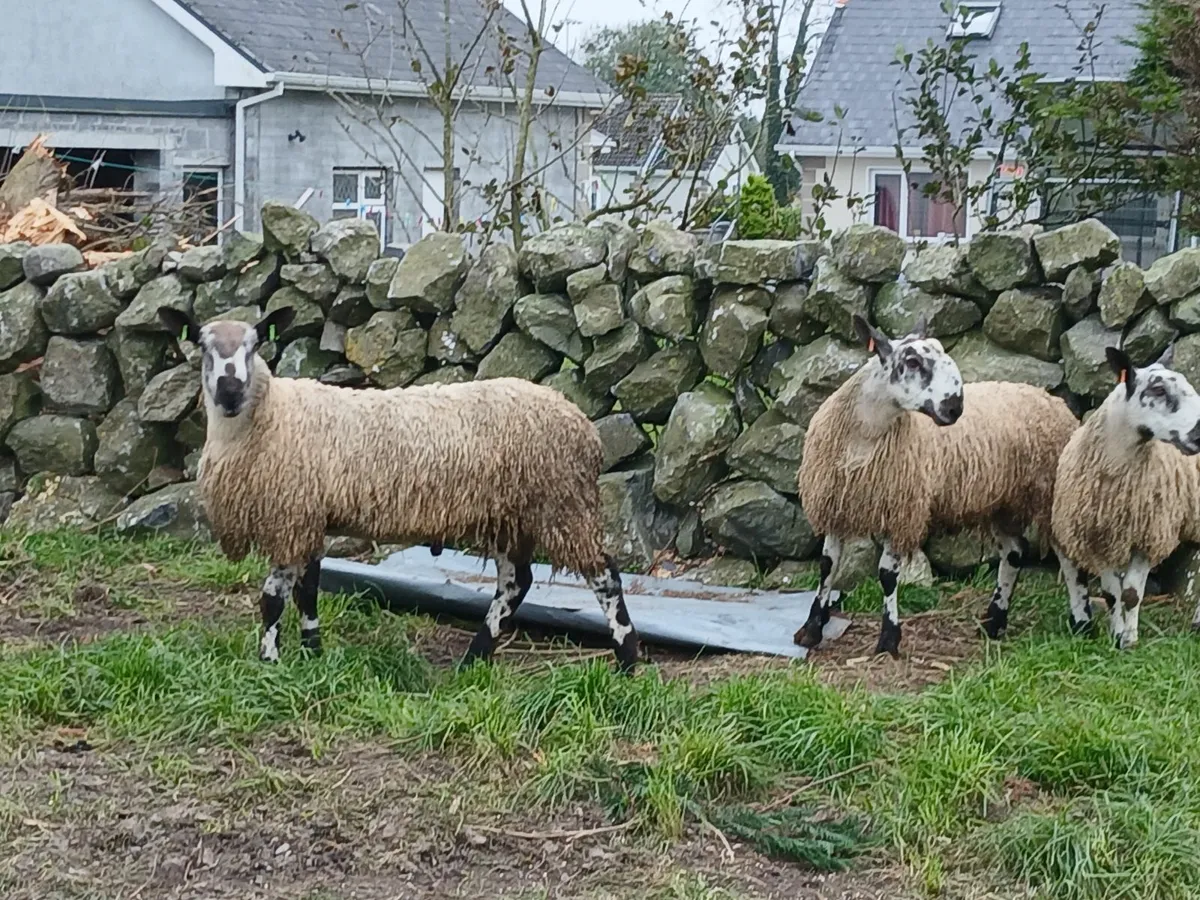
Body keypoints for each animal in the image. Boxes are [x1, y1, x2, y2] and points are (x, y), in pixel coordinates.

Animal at [156, 305, 640, 674]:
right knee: (515, 584)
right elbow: (307, 591)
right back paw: (473, 658)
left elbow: (272, 598)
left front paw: (270, 662)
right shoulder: (310, 515)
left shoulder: (290, 517)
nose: (230, 390)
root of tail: (584, 427)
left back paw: (627, 662)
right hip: (511, 515)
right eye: (203, 347)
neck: (267, 417)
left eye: (254, 346)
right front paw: (313, 653)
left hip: (562, 505)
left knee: (605, 578)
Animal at [795, 314, 1087, 657]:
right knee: (1015, 553)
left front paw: (889, 639)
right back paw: (994, 622)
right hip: (1002, 500)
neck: (866, 435)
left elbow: (887, 575)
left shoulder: (902, 510)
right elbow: (827, 566)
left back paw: (1082, 623)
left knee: (1069, 559)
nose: (954, 408)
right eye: (912, 361)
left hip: (1051, 494)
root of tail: (1053, 400)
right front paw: (811, 629)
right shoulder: (835, 505)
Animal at [1051, 342, 1200, 649]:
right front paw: (1116, 634)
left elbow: (1131, 594)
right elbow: (1111, 594)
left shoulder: (1147, 535)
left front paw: (1129, 640)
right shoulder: (1099, 537)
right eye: (1158, 390)